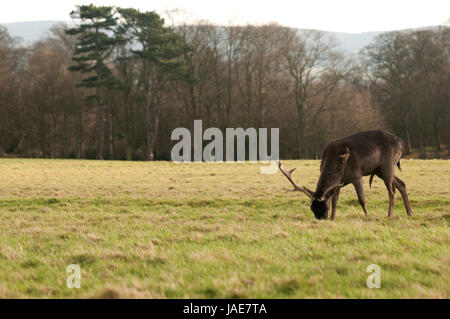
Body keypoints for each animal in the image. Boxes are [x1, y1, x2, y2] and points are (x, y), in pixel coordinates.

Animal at [280, 130, 414, 220]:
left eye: (325, 207)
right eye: (312, 208)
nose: (321, 220)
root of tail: (401, 142)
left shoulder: (356, 175)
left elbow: (362, 199)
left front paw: (367, 215)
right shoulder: (338, 183)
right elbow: (335, 201)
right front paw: (333, 219)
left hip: (387, 165)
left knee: (391, 191)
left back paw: (389, 215)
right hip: (379, 170)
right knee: (401, 184)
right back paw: (410, 212)